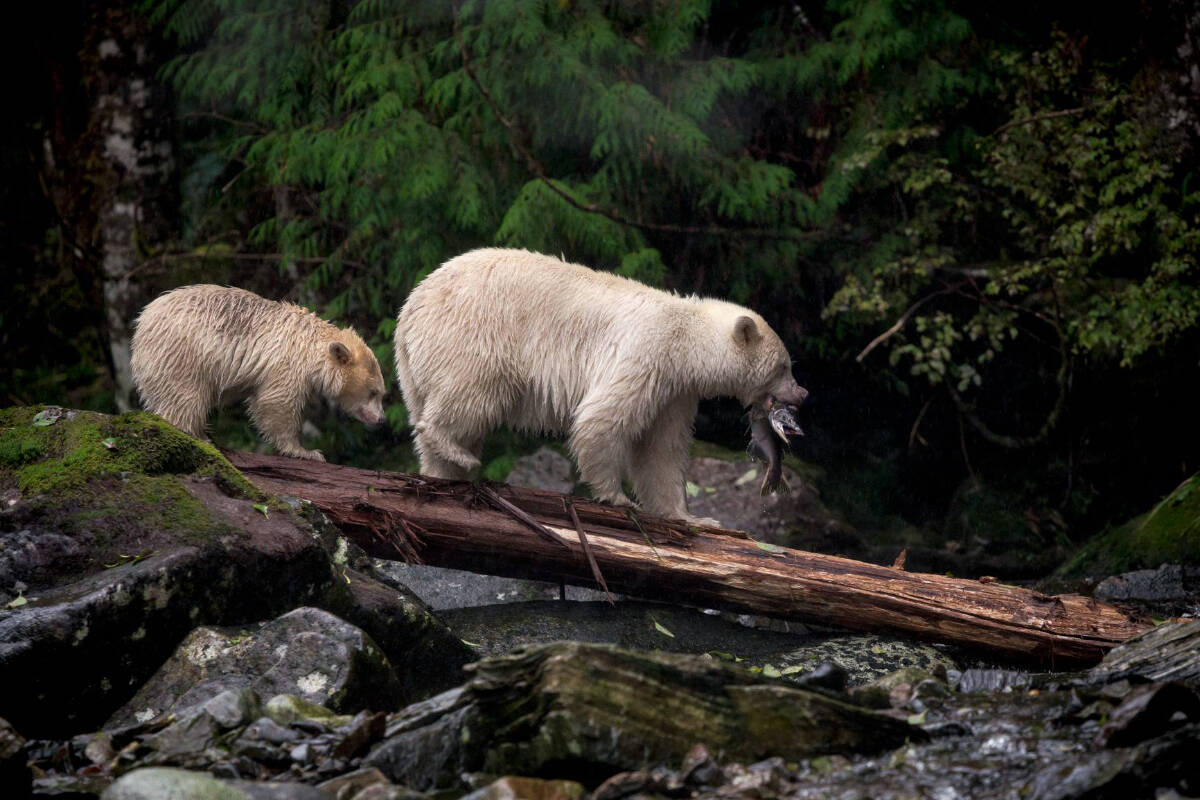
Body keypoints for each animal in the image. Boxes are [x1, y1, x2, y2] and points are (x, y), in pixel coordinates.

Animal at [131, 284, 386, 461]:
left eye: (381, 392)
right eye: (374, 392)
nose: (381, 419)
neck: (310, 347)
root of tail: (141, 325)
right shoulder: (286, 364)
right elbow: (277, 403)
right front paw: (306, 451)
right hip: (182, 354)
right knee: (185, 395)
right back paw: (199, 436)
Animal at [393, 248, 808, 525]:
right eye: (784, 366)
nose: (802, 394)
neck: (685, 337)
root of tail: (410, 309)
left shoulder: (675, 391)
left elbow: (661, 450)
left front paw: (692, 518)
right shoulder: (646, 354)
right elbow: (602, 419)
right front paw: (618, 498)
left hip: (417, 368)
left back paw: (445, 473)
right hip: (474, 335)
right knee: (472, 397)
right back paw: (458, 453)